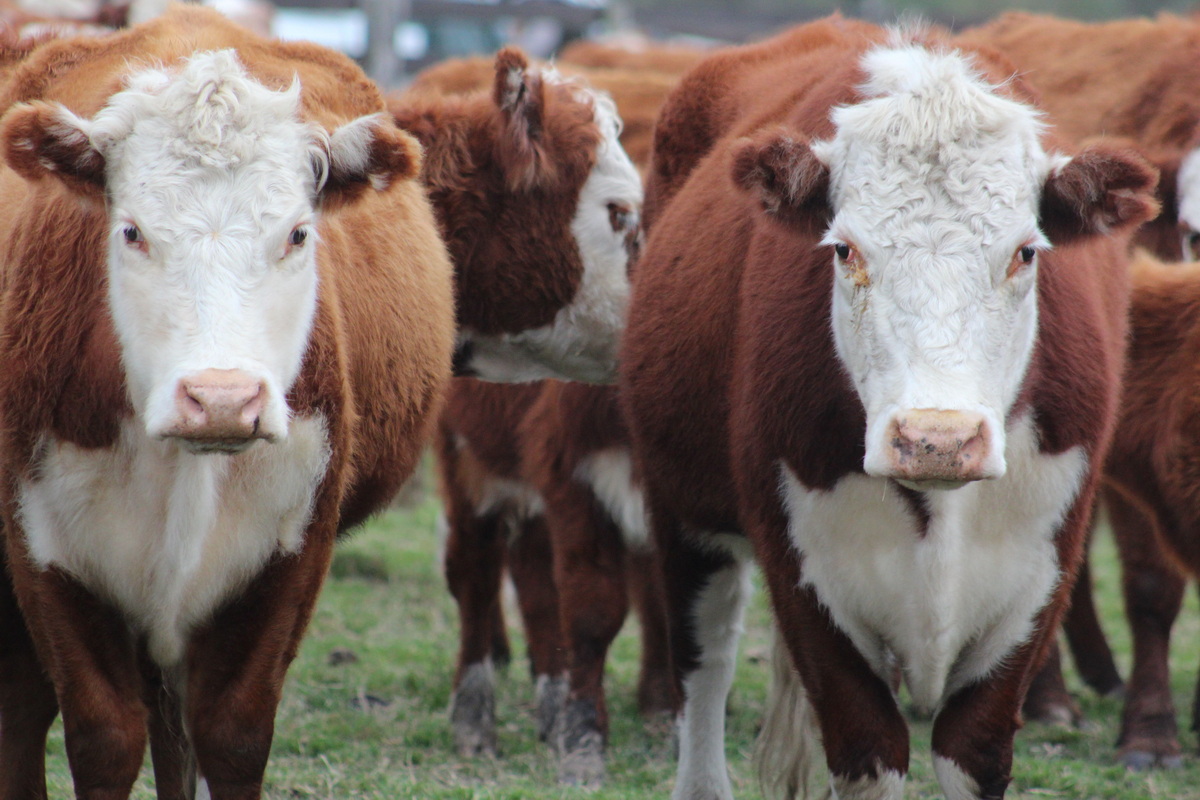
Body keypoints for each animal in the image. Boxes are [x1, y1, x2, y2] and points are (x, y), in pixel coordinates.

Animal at [0, 7, 457, 799]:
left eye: (298, 234)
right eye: (131, 231)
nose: (220, 400)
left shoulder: (290, 556)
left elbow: (233, 736)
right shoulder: (42, 551)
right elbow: (102, 735)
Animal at [621, 17, 1158, 800]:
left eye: (1026, 253)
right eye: (846, 251)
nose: (938, 439)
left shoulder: (1037, 581)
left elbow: (974, 747)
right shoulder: (806, 583)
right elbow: (866, 745)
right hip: (681, 506)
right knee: (706, 659)